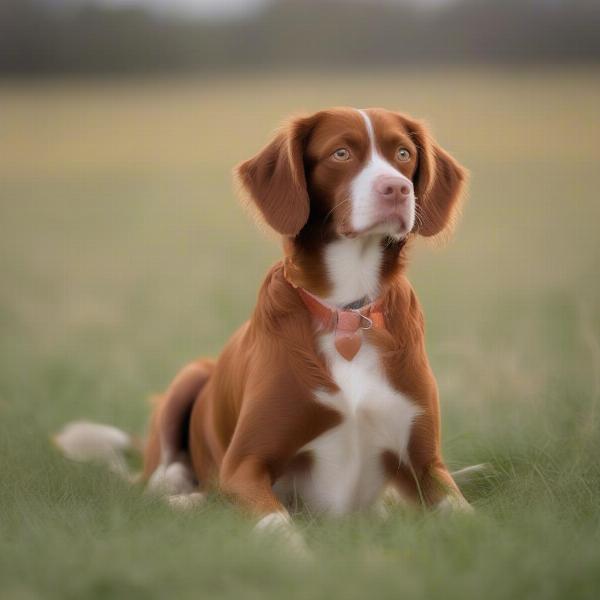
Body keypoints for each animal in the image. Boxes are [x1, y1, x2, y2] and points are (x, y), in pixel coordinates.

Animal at [56, 106, 478, 544]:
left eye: (403, 153)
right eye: (341, 153)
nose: (396, 189)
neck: (346, 310)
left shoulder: (426, 464)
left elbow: (467, 516)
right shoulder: (244, 464)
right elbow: (276, 524)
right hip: (190, 375)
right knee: (157, 479)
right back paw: (179, 490)